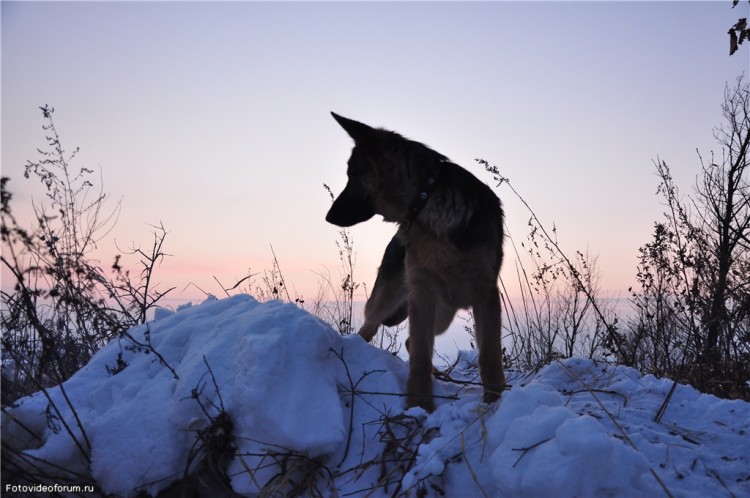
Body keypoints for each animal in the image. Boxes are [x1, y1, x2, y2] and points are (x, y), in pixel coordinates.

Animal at [328, 114, 508, 412]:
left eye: (352, 175)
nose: (328, 216)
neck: (427, 202)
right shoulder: (422, 293)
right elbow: (421, 357)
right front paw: (419, 405)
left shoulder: (485, 293)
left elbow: (489, 354)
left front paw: (496, 400)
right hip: (393, 300)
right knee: (371, 329)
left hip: (443, 312)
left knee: (412, 341)